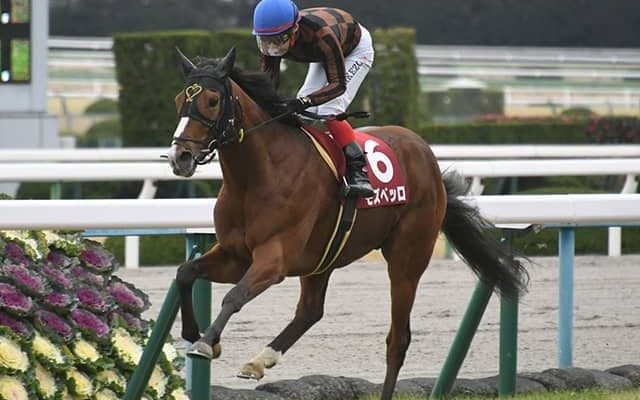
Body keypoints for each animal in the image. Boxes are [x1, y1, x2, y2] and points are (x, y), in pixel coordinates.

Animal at [167, 47, 528, 400]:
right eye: (179, 99)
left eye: (212, 100)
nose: (179, 157)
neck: (257, 176)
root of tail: (426, 156)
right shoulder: (235, 255)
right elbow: (185, 272)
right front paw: (193, 333)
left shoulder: (275, 259)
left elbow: (235, 296)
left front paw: (205, 343)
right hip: (322, 256)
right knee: (311, 310)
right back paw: (260, 359)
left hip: (407, 259)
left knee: (397, 340)